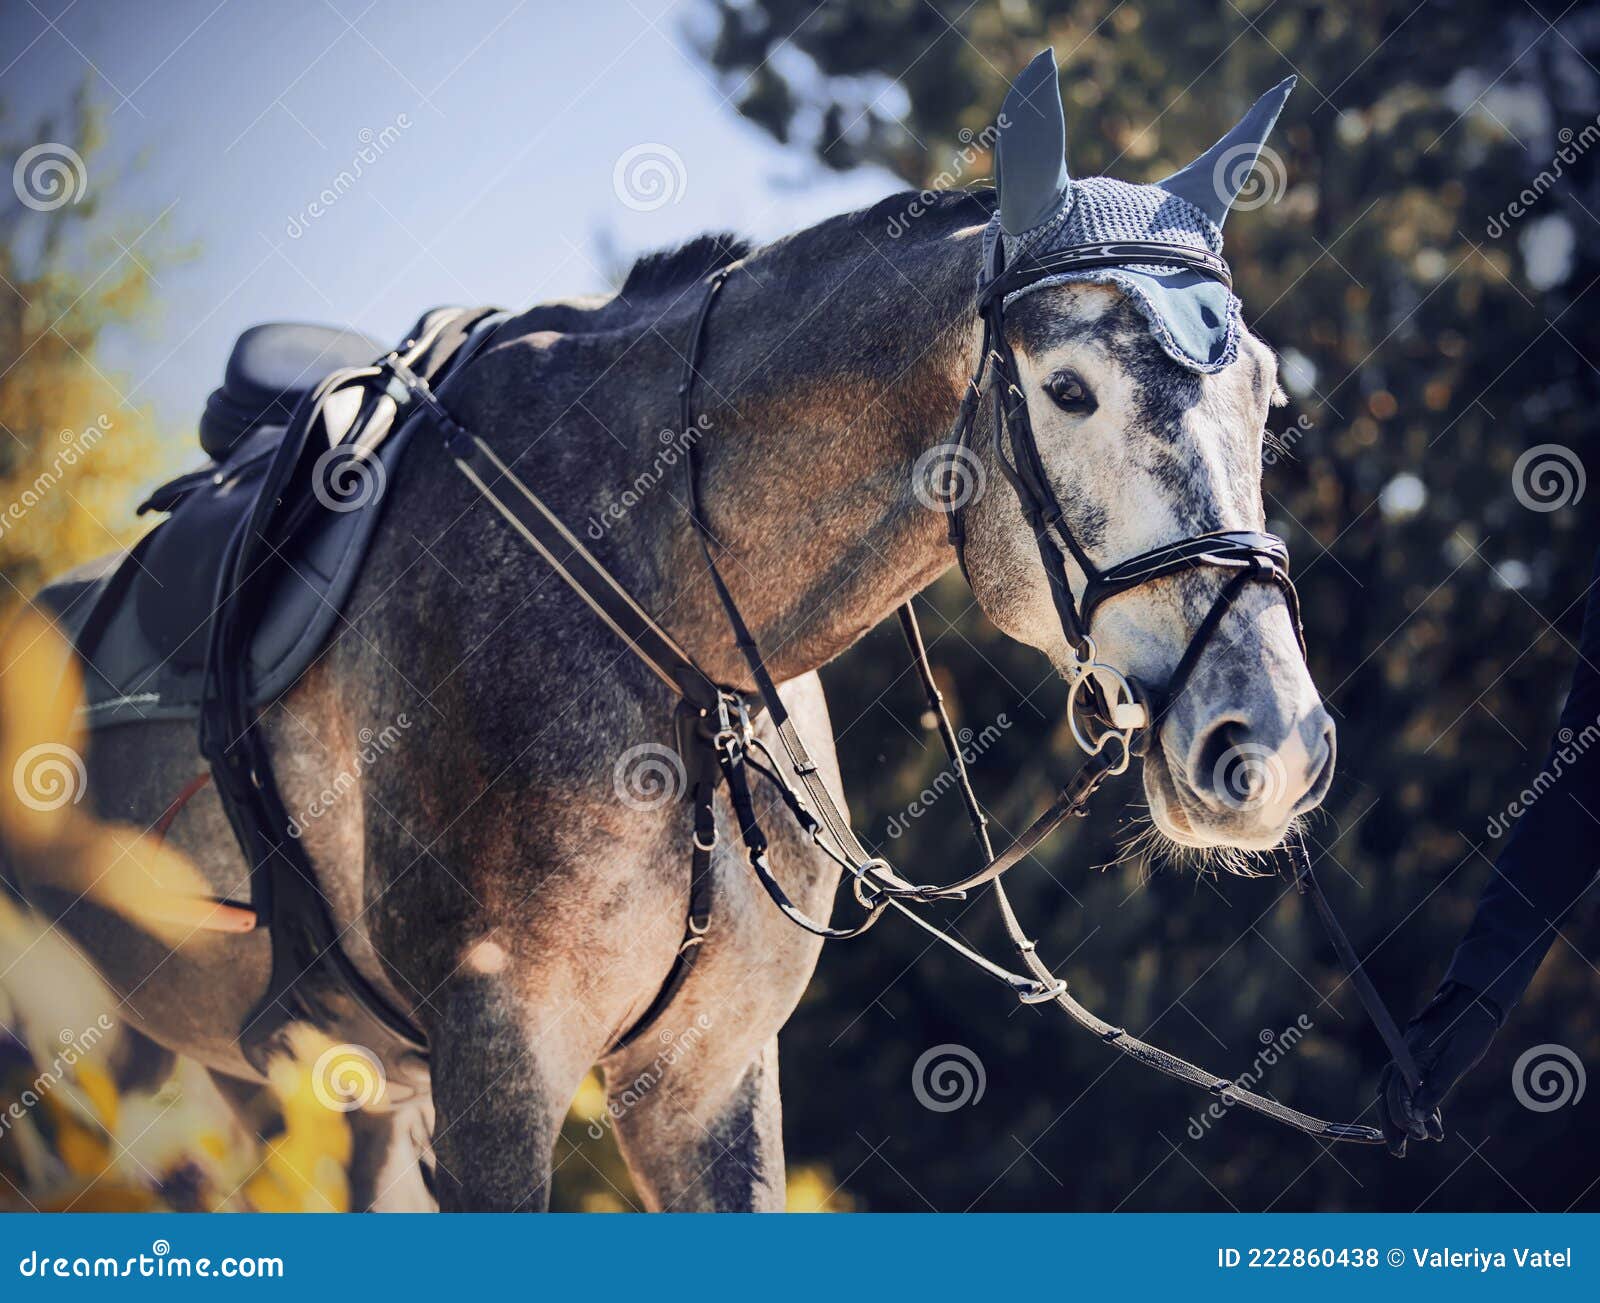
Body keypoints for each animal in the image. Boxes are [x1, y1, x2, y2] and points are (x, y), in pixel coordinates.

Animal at [12, 71, 1337, 1216]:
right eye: (1067, 391)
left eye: (1265, 394)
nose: (1269, 743)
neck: (670, 619)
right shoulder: (497, 1066)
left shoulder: (705, 1079)